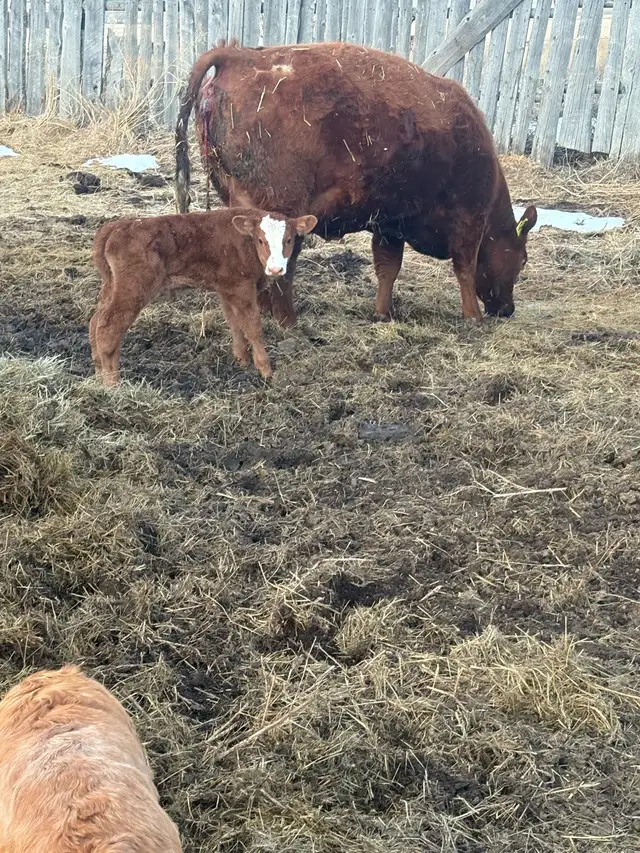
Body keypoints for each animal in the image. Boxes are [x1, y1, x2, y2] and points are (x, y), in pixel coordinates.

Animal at [89, 208, 317, 385]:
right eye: (260, 240)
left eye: (289, 240)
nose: (276, 269)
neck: (244, 243)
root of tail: (116, 227)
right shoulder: (242, 287)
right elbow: (253, 327)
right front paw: (265, 370)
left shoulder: (226, 288)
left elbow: (234, 322)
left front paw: (241, 360)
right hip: (132, 289)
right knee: (108, 328)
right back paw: (113, 384)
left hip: (111, 286)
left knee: (95, 322)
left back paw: (99, 372)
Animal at [175, 41, 537, 328]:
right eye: (522, 259)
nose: (507, 309)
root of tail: (239, 55)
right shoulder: (468, 219)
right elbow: (465, 268)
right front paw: (472, 317)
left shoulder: (390, 224)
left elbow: (388, 269)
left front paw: (382, 313)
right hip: (282, 211)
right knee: (280, 268)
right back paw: (289, 322)